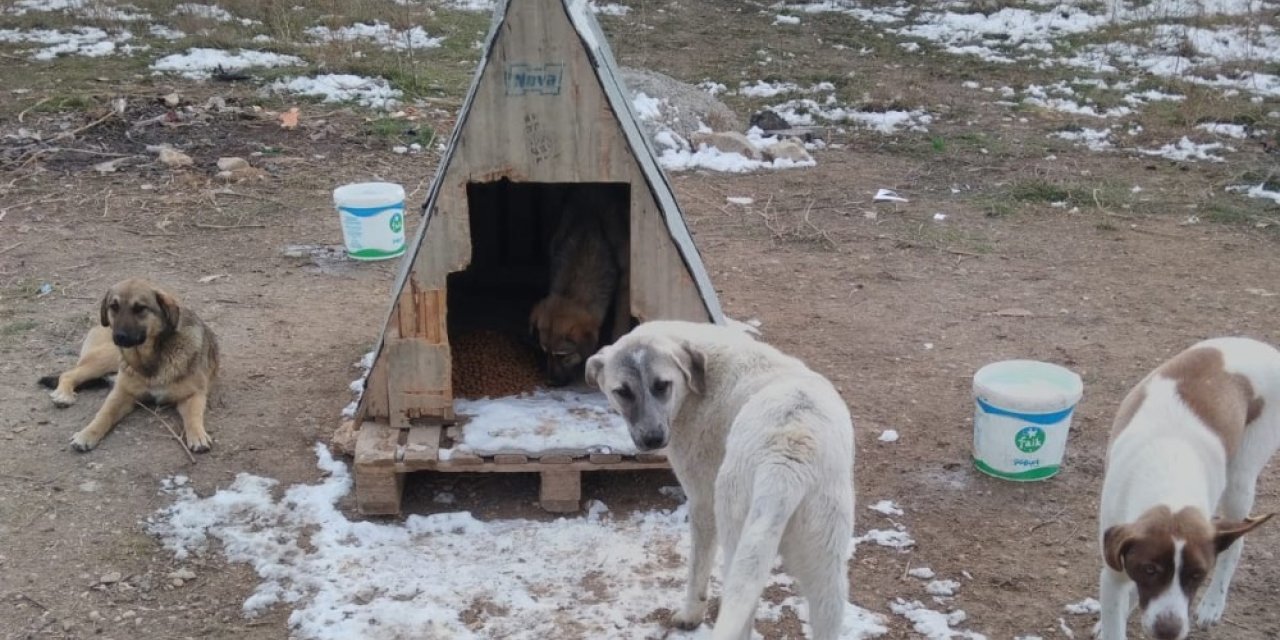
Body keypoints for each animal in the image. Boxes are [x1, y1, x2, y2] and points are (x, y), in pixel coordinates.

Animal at [586, 322, 849, 637]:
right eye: (622, 392)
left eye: (662, 385)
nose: (652, 439)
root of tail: (786, 459)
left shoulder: (701, 503)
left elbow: (696, 569)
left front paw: (690, 615)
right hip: (826, 566)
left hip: (735, 531)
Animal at [1090, 337, 1280, 637]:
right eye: (1149, 569)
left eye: (1197, 575)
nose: (1168, 631)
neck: (1170, 480)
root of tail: (1265, 347)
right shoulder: (1113, 572)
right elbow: (1117, 615)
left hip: (1240, 479)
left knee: (1236, 544)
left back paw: (1213, 604)